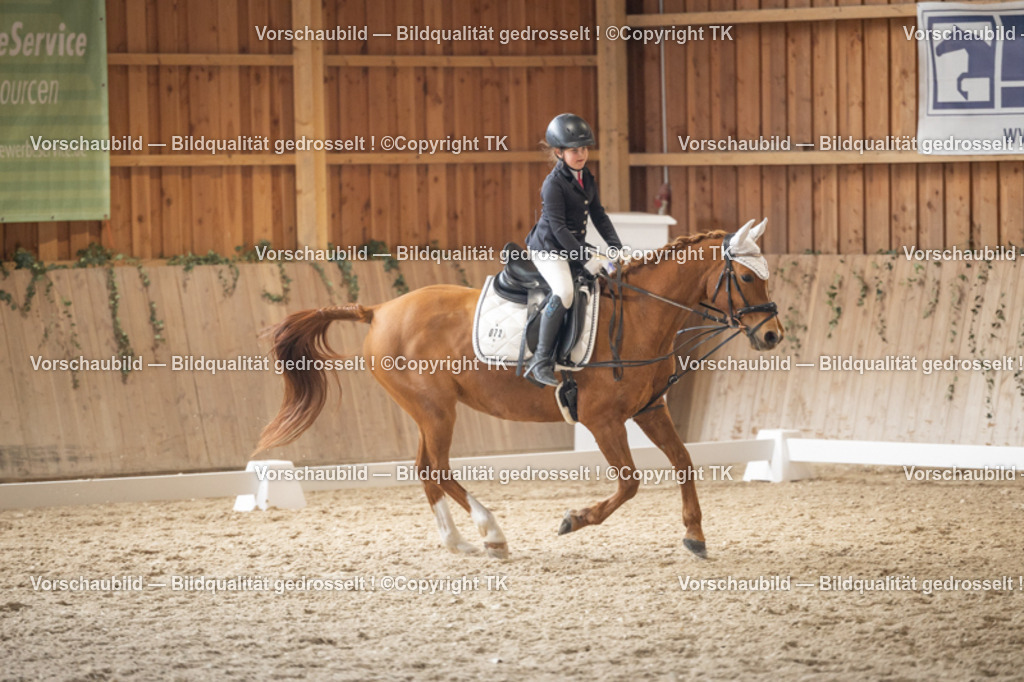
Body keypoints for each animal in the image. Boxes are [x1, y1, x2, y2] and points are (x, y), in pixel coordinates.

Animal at [253, 219, 783, 560]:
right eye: (747, 277)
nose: (774, 335)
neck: (640, 316)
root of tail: (379, 310)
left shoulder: (650, 409)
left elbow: (684, 462)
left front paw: (695, 536)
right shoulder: (603, 420)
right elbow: (630, 482)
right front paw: (574, 519)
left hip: (428, 412)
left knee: (425, 470)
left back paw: (459, 542)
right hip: (436, 410)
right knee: (438, 469)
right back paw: (491, 533)